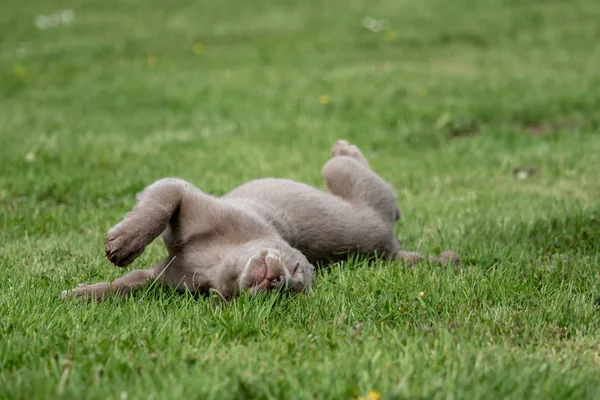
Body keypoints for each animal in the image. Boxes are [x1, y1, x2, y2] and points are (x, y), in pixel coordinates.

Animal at [62, 141, 460, 300]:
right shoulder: (185, 197)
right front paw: (117, 252)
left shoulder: (164, 279)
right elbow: (160, 202)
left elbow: (130, 283)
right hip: (341, 179)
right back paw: (344, 147)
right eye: (296, 267)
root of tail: (390, 244)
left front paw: (80, 293)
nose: (276, 281)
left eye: (291, 290)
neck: (215, 263)